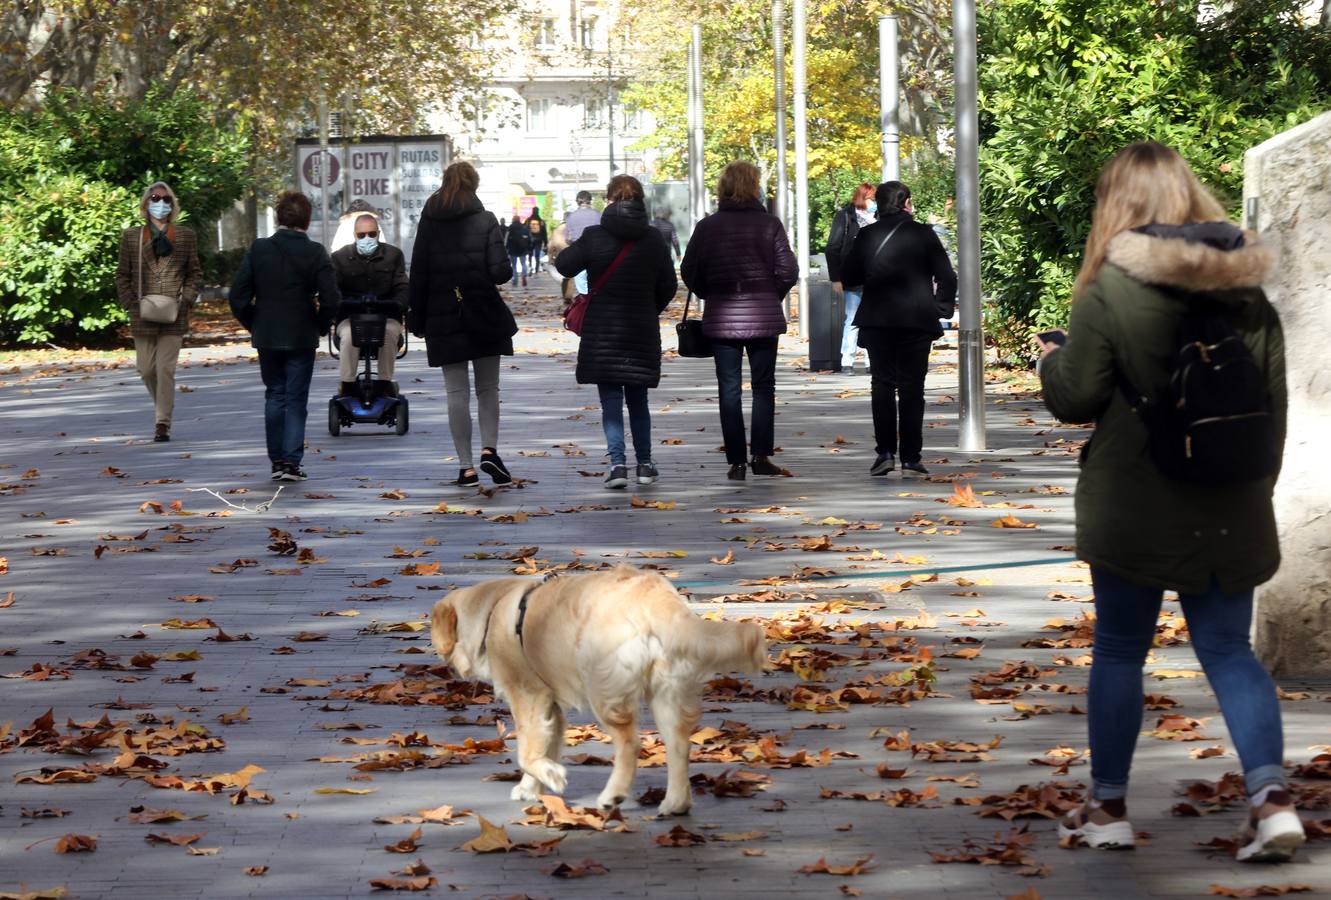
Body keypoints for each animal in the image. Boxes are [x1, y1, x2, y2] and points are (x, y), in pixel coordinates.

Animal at [431, 569, 766, 814]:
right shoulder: (553, 710)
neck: (493, 611)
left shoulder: (529, 695)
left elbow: (526, 752)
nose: (451, 670)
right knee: (679, 746)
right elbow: (545, 746)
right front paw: (532, 786)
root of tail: (654, 597)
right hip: (667, 694)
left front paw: (549, 776)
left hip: (604, 691)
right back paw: (675, 803)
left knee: (630, 743)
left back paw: (612, 795)